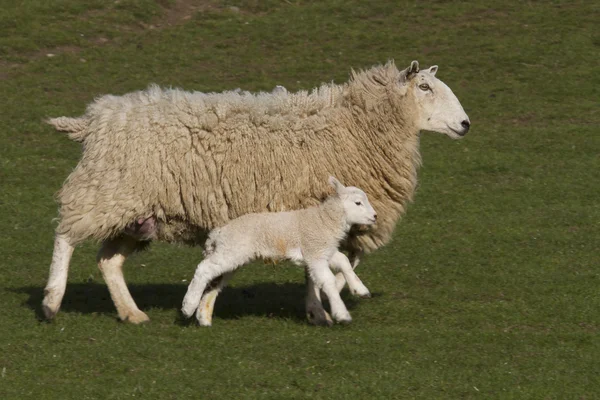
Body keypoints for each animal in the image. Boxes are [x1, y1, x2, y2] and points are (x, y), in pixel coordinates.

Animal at [182, 177, 376, 324]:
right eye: (358, 203)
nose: (375, 216)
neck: (324, 220)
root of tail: (219, 231)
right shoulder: (314, 251)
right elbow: (328, 280)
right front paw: (341, 314)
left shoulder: (323, 250)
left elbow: (344, 261)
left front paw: (361, 289)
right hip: (231, 250)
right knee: (203, 269)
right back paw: (188, 307)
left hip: (231, 255)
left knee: (213, 280)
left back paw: (202, 316)